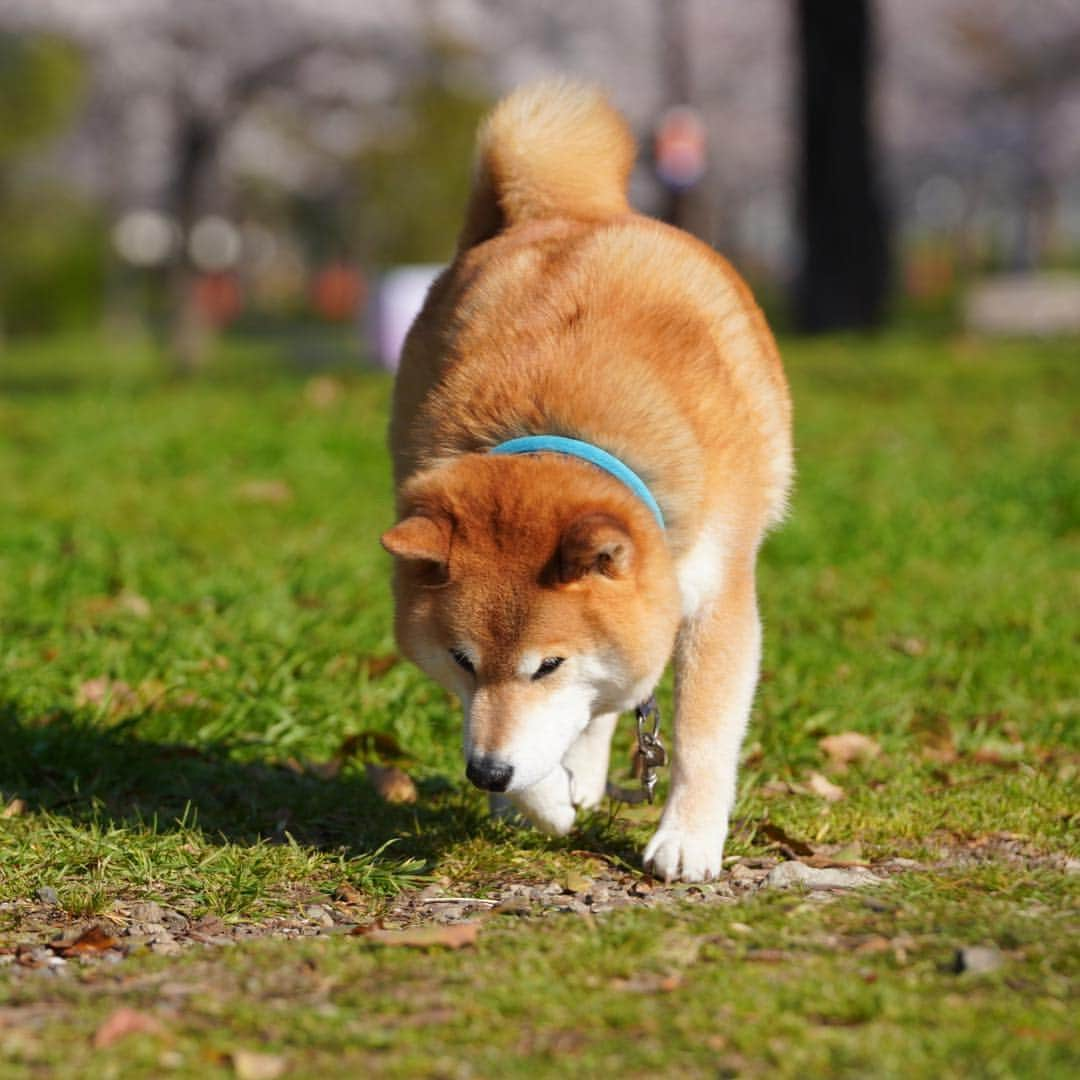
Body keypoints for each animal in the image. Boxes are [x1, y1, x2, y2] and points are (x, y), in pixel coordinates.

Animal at [384, 82, 790, 876]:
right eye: (461, 660)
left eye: (548, 665)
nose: (486, 774)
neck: (563, 425)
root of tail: (569, 211)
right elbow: (530, 734)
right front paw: (537, 800)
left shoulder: (716, 595)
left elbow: (701, 736)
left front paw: (688, 838)